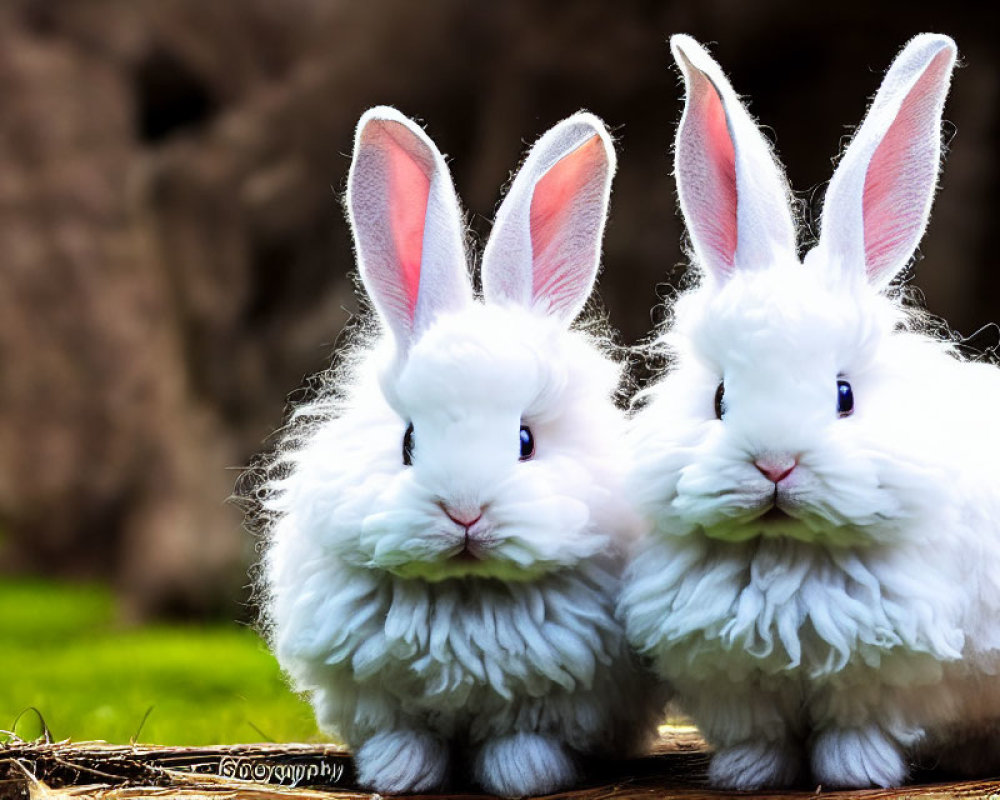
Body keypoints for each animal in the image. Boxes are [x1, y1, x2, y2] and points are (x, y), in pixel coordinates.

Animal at [256, 108, 664, 800]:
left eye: (525, 441)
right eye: (408, 441)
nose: (466, 513)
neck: (467, 589)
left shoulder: (552, 697)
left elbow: (522, 737)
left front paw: (524, 775)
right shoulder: (379, 696)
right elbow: (403, 735)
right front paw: (400, 773)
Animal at [616, 34, 1000, 792]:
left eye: (844, 395)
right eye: (720, 397)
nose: (774, 465)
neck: (786, 549)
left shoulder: (882, 674)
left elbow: (857, 730)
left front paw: (856, 772)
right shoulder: (732, 681)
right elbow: (756, 736)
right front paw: (745, 776)